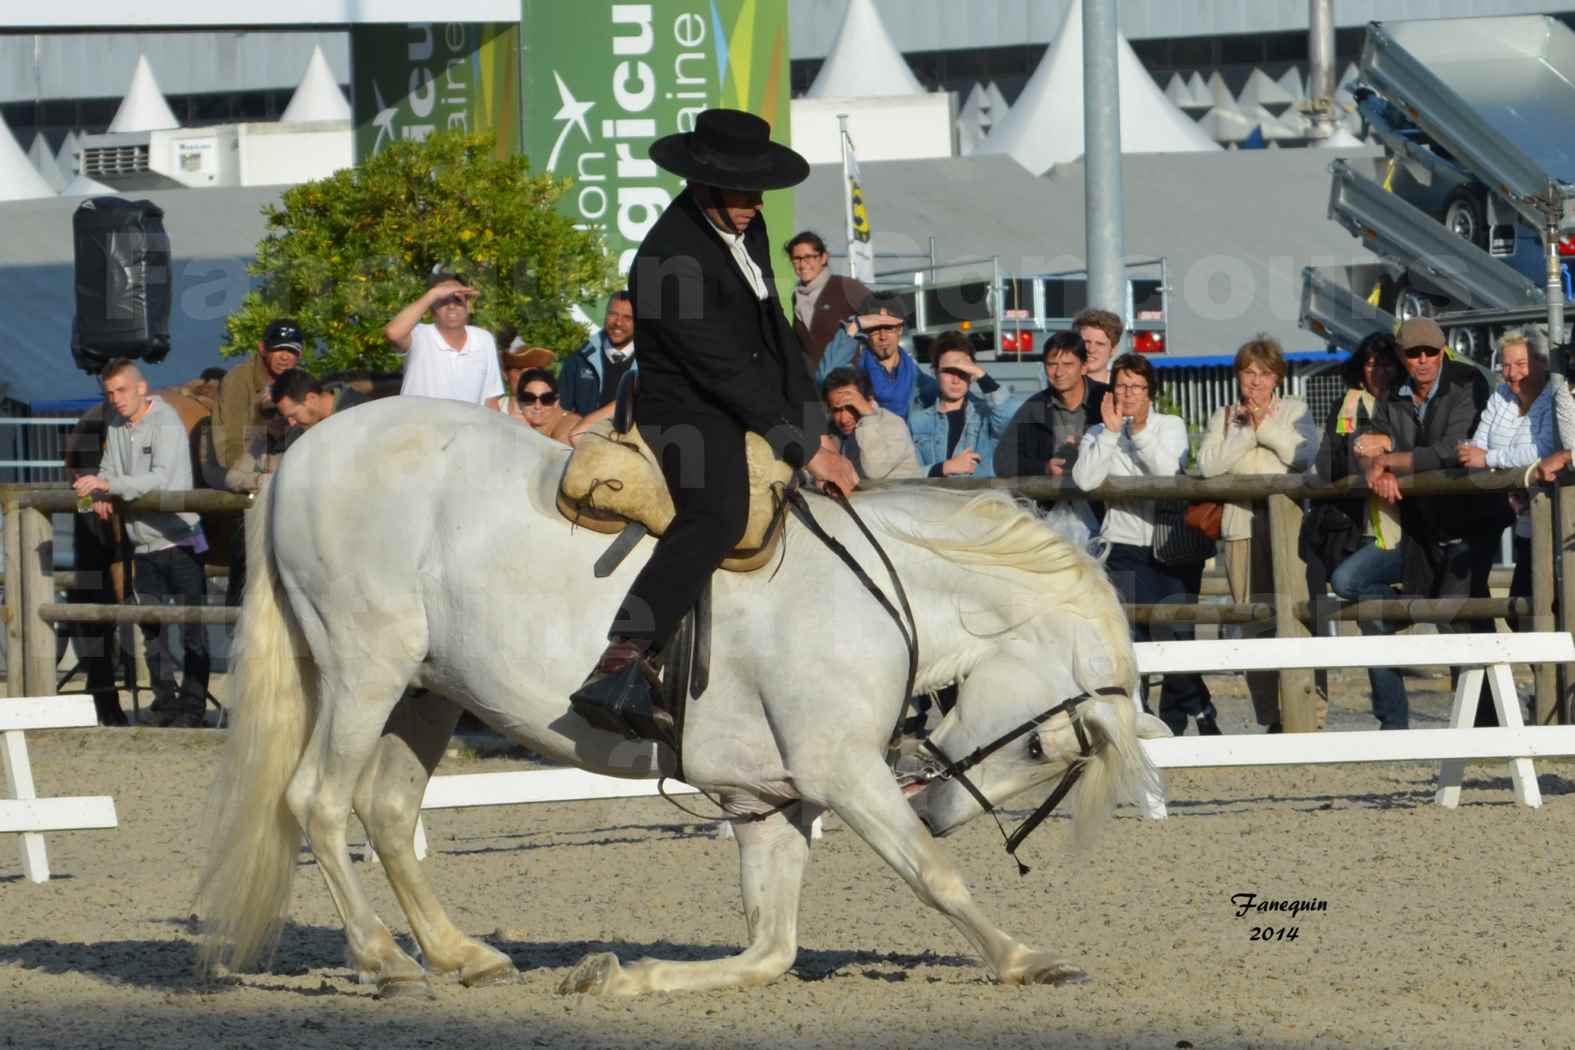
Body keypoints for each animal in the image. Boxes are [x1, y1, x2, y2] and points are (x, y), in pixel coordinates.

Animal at [190, 398, 1165, 1001]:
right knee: (317, 801)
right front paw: (1024, 958)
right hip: (367, 669)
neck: (881, 590)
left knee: (387, 812)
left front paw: (620, 976)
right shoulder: (842, 774)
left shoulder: (770, 800)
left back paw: (461, 954)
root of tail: (306, 451)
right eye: (1042, 748)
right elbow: (935, 879)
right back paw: (385, 961)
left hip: (427, 691)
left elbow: (770, 951)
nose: (936, 810)